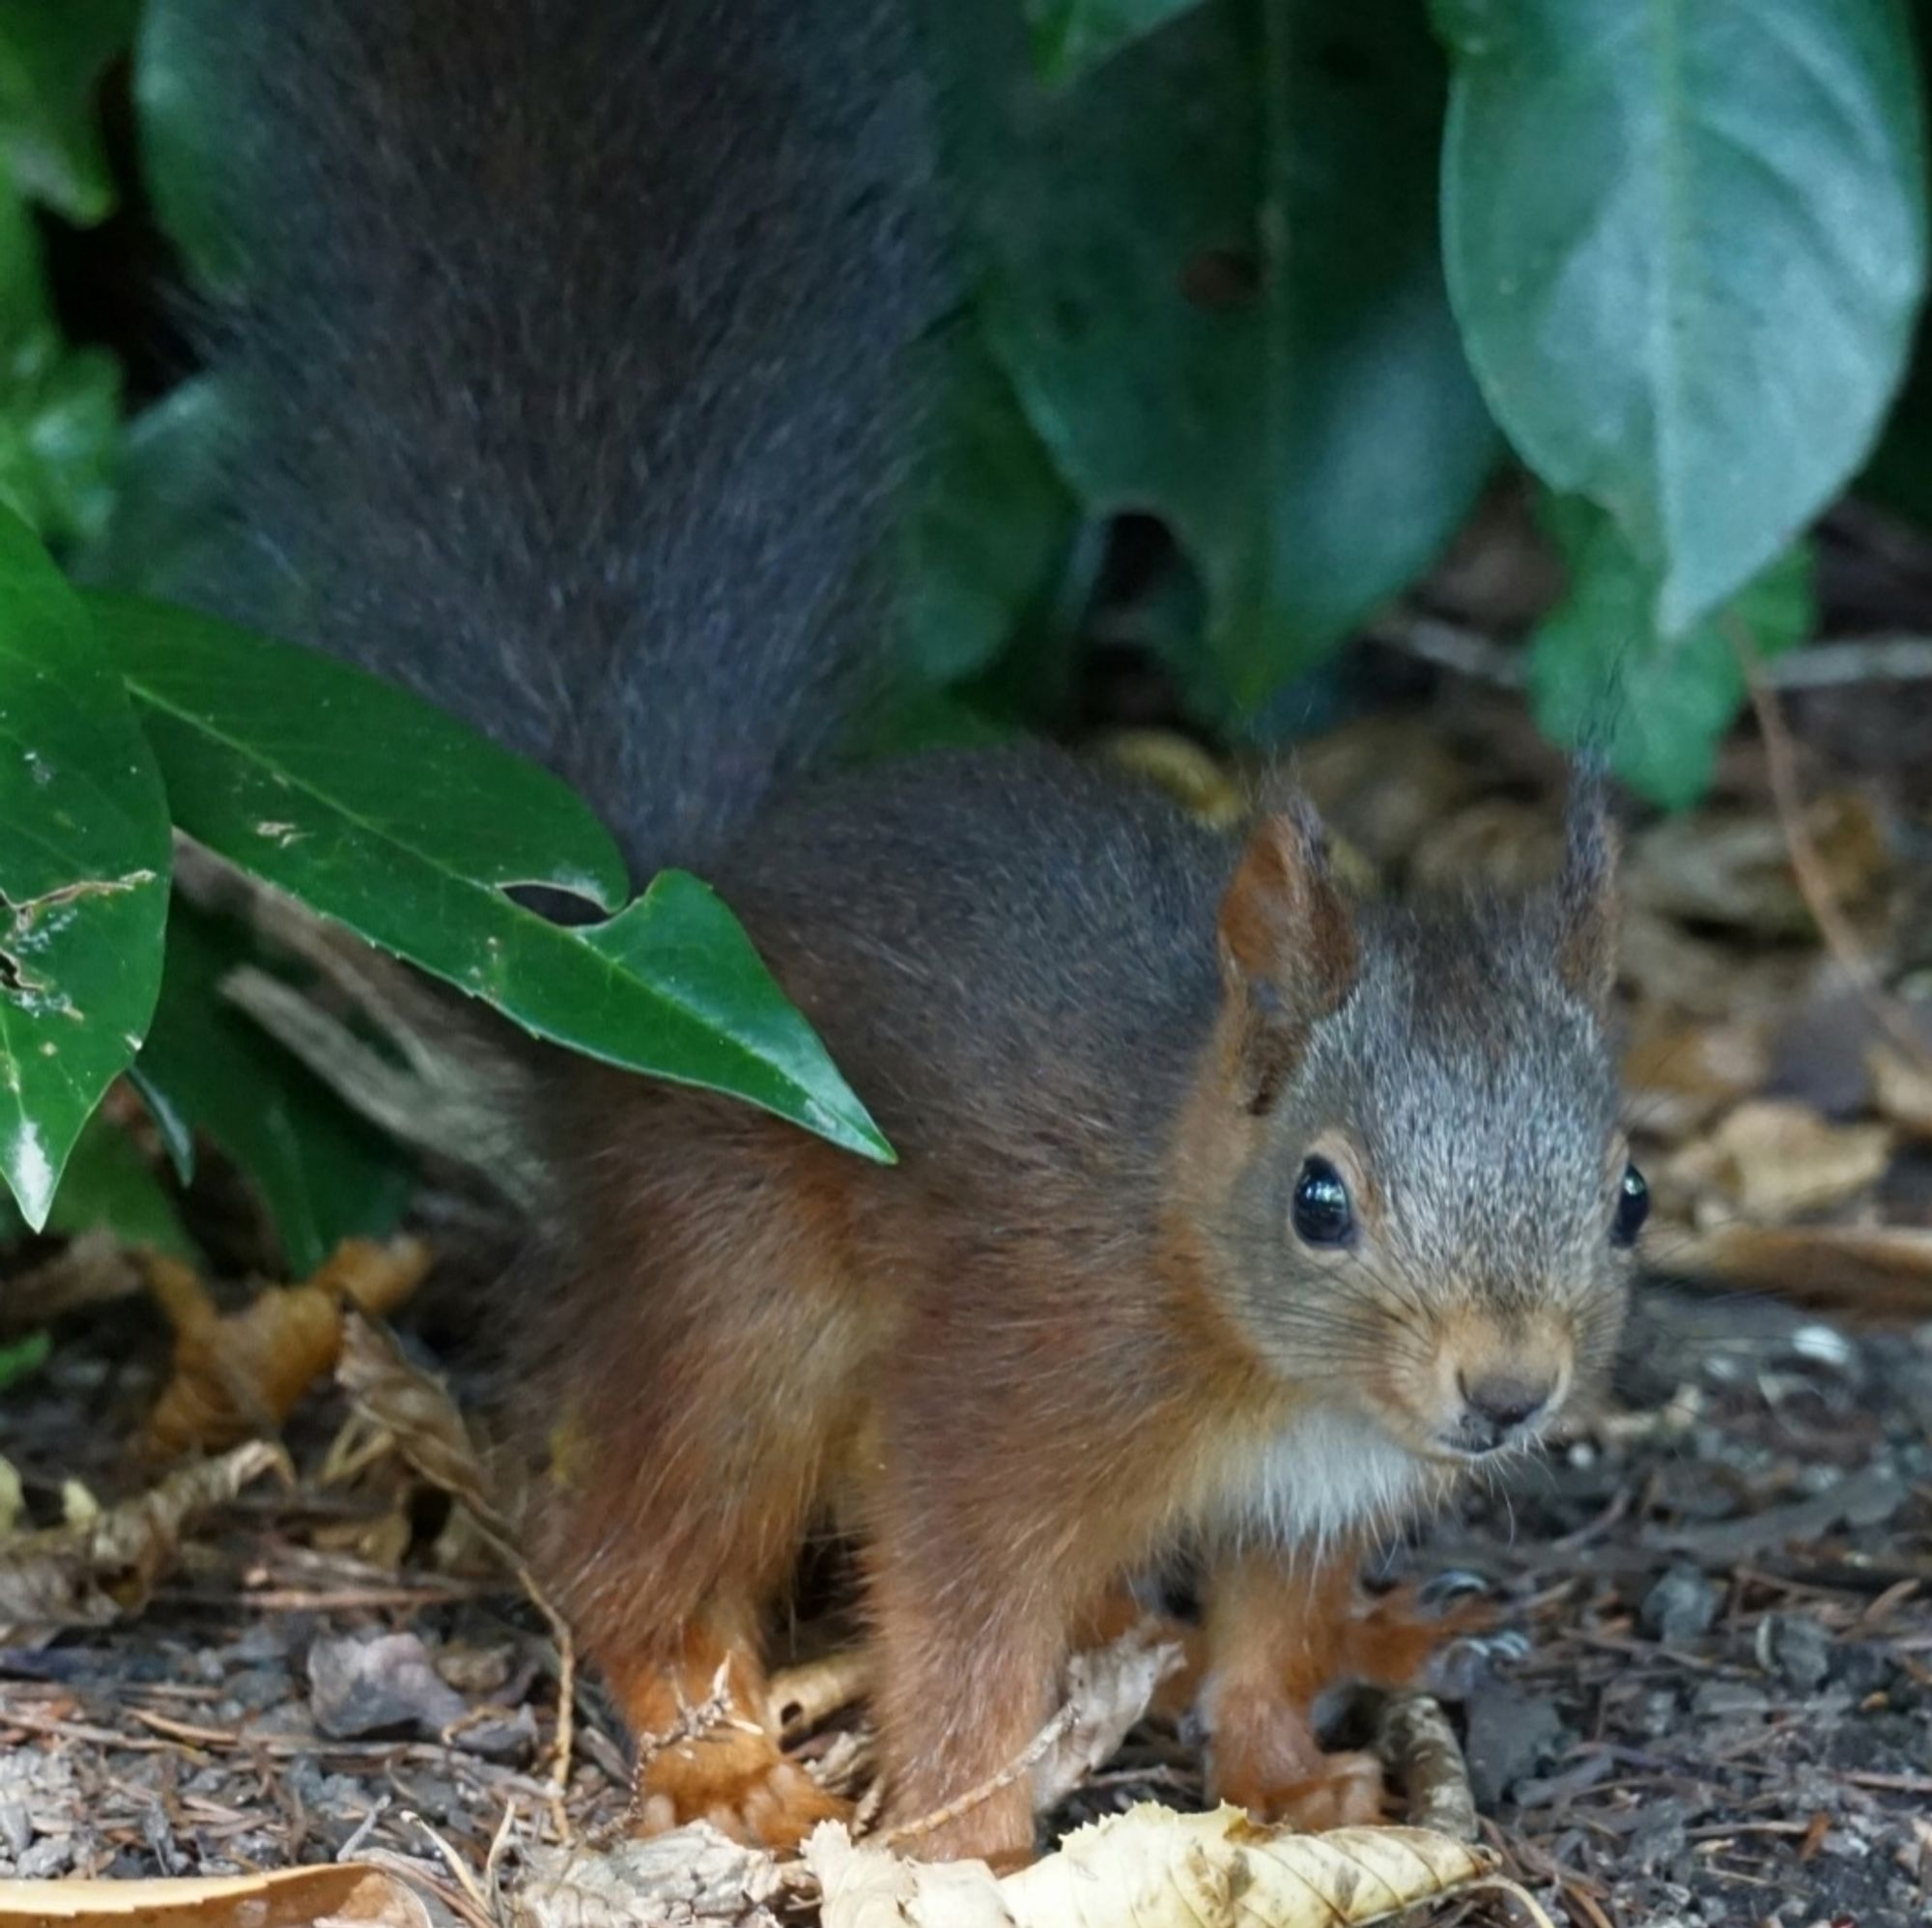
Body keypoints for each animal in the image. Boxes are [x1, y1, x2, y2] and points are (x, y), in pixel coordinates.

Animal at [174, 0, 1638, 1862]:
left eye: (1629, 1196)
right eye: (1321, 1200)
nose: (1507, 1391)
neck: (1239, 1327)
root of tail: (638, 952)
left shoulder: (1317, 1496)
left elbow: (1271, 1639)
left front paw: (1291, 1780)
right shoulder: (1013, 1393)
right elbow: (958, 1616)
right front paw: (966, 1850)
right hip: (739, 1286)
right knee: (634, 1548)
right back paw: (718, 1747)